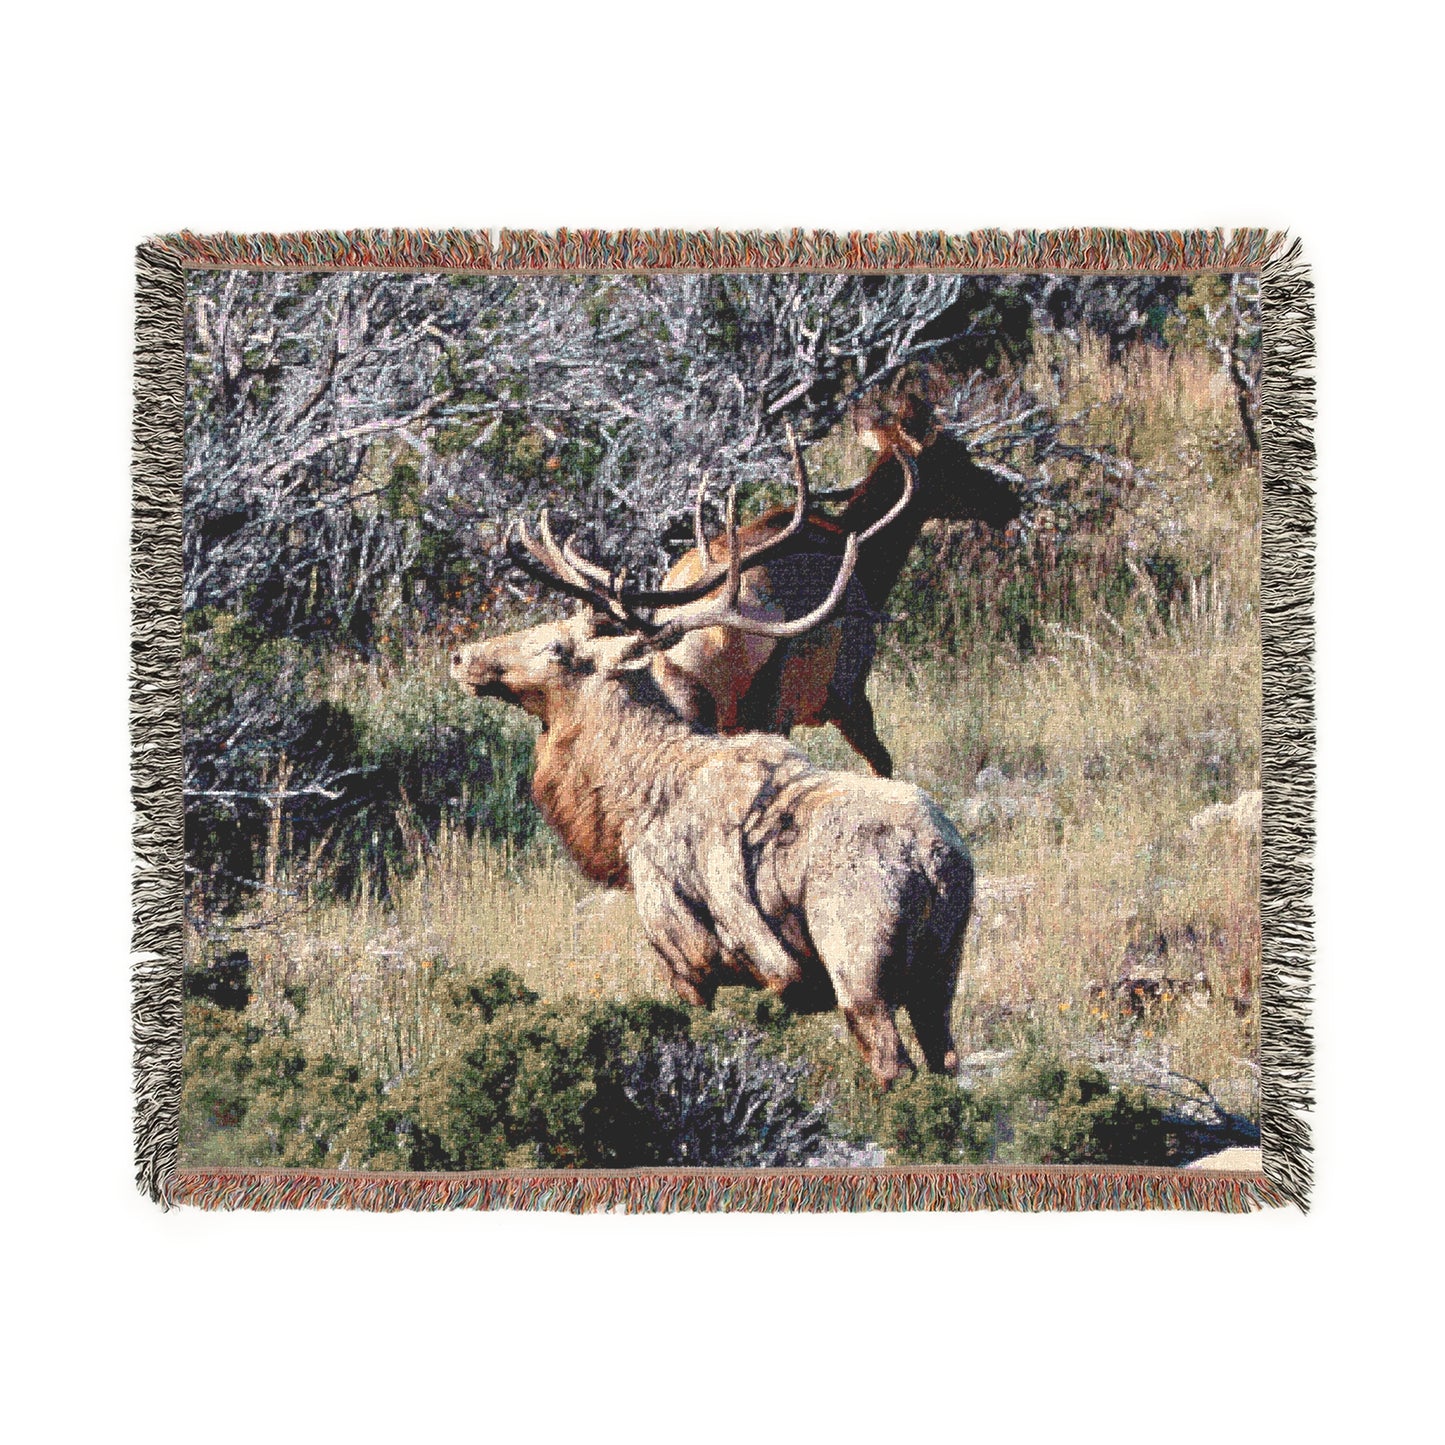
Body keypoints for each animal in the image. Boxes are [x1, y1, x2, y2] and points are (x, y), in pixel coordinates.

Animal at [452, 500, 974, 1087]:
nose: (462, 657)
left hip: (860, 962)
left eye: (557, 647)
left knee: (893, 1063)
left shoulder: (684, 953)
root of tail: (941, 863)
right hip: (942, 971)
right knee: (947, 1061)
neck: (622, 813)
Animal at [509, 393, 1022, 778]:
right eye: (957, 456)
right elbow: (884, 765)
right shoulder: (847, 691)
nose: (1007, 498)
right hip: (769, 704)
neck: (873, 567)